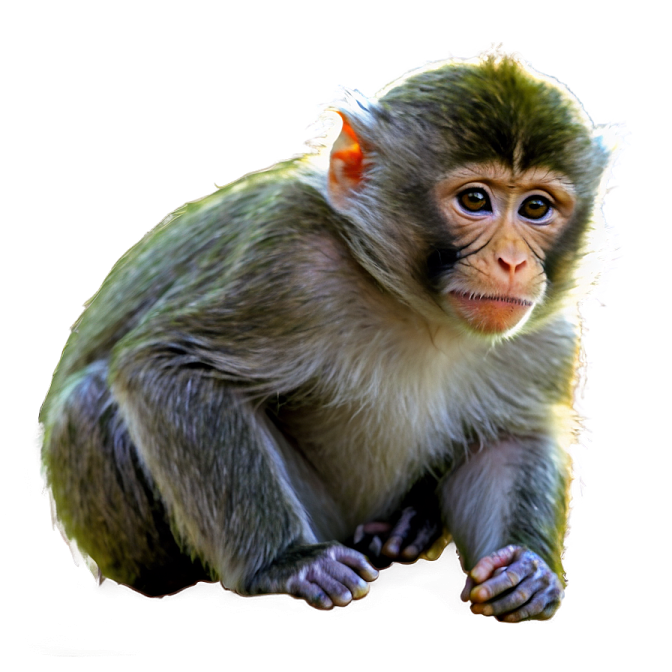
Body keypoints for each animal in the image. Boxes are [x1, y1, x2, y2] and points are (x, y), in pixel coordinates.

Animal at [33, 45, 627, 621]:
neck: (419, 312)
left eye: (536, 207)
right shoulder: (290, 264)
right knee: (89, 402)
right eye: (476, 200)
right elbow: (166, 365)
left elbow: (510, 439)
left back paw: (409, 526)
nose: (511, 262)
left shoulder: (544, 330)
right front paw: (287, 562)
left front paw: (526, 573)